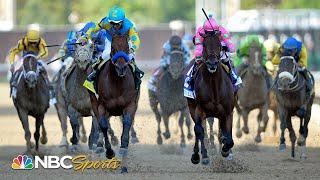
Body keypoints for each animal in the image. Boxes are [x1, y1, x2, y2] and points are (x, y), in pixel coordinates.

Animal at [89, 32, 139, 173]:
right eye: (113, 49)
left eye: (127, 48)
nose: (121, 68)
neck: (117, 84)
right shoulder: (102, 106)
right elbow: (103, 126)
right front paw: (109, 152)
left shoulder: (130, 105)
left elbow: (126, 125)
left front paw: (124, 157)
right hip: (94, 103)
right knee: (100, 123)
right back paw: (99, 146)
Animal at [185, 30, 235, 165]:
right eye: (204, 45)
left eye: (220, 45)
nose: (212, 63)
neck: (214, 88)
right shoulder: (199, 109)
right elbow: (198, 130)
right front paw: (200, 156)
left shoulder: (228, 112)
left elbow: (229, 138)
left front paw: (225, 150)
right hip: (192, 108)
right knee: (199, 130)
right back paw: (201, 154)